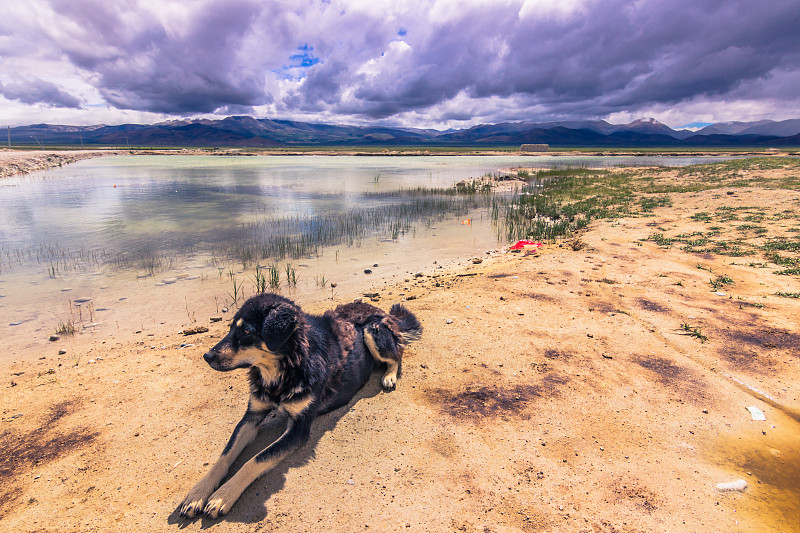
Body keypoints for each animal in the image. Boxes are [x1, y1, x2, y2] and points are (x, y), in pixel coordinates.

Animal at [179, 294, 422, 516]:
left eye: (246, 332)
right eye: (230, 329)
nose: (206, 356)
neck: (285, 369)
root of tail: (379, 309)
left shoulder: (298, 428)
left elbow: (255, 459)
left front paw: (224, 494)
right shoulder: (252, 416)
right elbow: (225, 454)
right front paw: (198, 493)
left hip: (373, 331)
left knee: (397, 355)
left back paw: (389, 376)